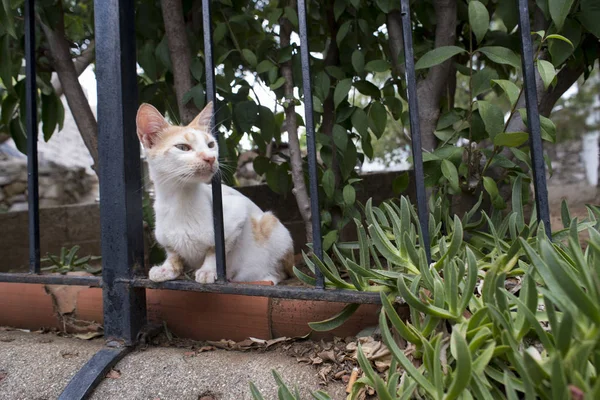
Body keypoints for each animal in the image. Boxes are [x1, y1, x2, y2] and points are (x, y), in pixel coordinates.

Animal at [137, 101, 296, 286]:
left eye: (211, 145)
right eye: (182, 147)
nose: (210, 158)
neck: (178, 200)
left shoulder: (237, 213)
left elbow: (216, 249)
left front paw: (207, 270)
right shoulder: (165, 238)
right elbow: (173, 253)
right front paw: (167, 268)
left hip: (271, 224)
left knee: (281, 273)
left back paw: (264, 278)